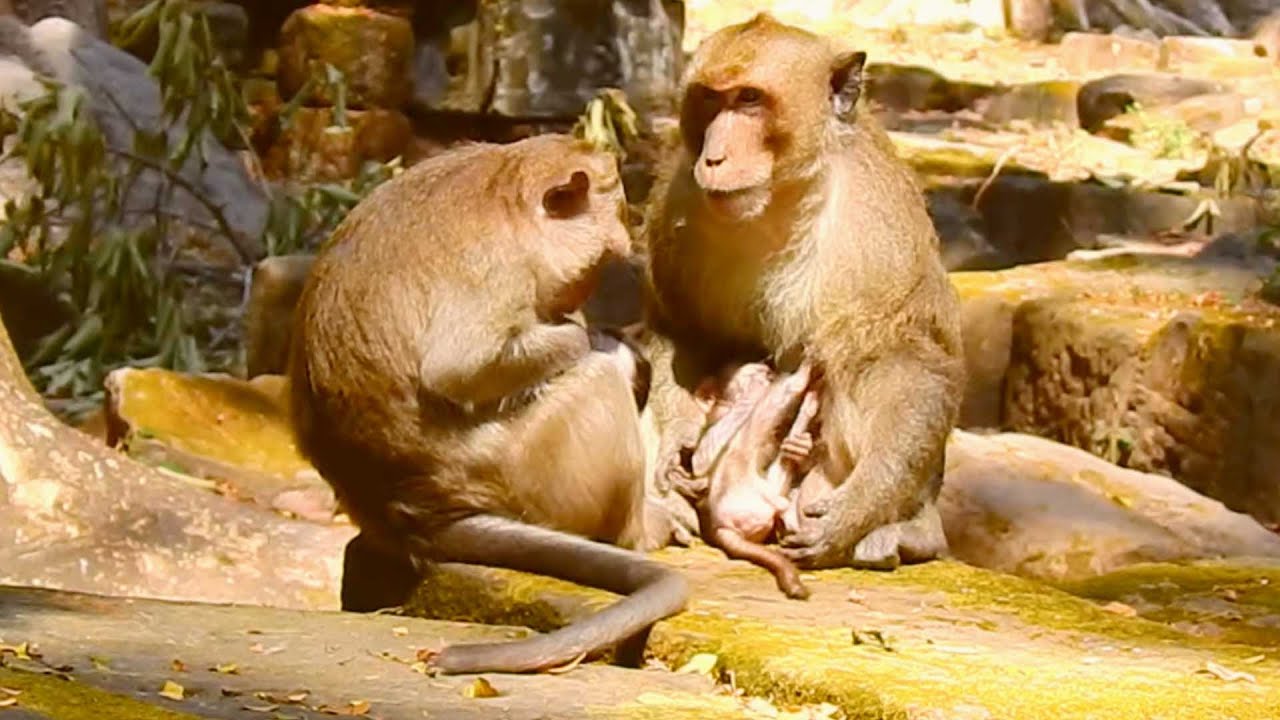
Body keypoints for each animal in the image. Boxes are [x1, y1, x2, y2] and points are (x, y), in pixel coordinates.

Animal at [288, 134, 688, 675]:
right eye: (599, 265)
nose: (575, 303)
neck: (508, 202)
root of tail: (413, 515)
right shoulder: (499, 269)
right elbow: (458, 368)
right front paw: (600, 340)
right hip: (526, 472)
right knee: (599, 380)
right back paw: (638, 527)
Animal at [642, 14, 965, 571]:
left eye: (749, 99)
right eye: (710, 99)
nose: (714, 157)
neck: (781, 200)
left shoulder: (879, 223)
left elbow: (904, 358)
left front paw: (860, 506)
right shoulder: (677, 197)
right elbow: (681, 328)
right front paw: (678, 440)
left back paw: (907, 532)